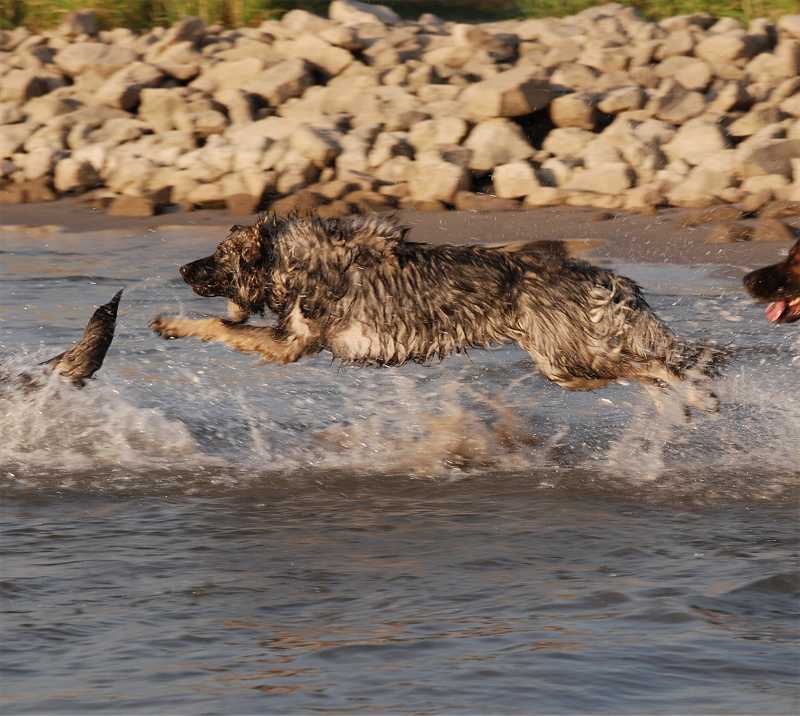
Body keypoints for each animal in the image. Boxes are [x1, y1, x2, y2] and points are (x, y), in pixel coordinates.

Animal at [150, 214, 719, 412]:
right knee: (647, 368)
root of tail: (598, 274)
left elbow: (215, 326)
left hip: (567, 362)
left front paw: (170, 323)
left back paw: (695, 395)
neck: (291, 260)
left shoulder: (290, 344)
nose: (180, 267)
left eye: (217, 256)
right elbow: (222, 325)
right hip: (569, 367)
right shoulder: (289, 340)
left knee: (656, 365)